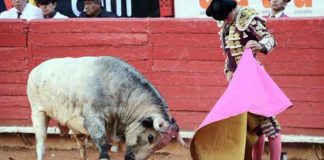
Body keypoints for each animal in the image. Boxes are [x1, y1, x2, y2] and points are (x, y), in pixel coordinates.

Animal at [27, 55, 187, 159]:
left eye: (159, 146)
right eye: (151, 137)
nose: (132, 159)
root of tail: (36, 69)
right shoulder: (93, 120)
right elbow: (104, 148)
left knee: (82, 149)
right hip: (38, 112)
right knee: (41, 144)